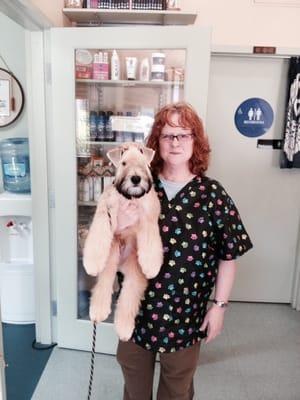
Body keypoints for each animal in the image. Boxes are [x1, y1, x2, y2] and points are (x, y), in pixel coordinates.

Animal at [82, 142, 164, 340]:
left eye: (142, 162)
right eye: (124, 162)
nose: (135, 179)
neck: (130, 198)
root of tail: (121, 265)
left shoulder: (149, 218)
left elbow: (151, 243)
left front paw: (152, 266)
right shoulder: (105, 213)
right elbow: (98, 235)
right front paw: (91, 263)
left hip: (135, 273)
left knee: (128, 298)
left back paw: (124, 328)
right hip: (111, 255)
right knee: (104, 283)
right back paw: (98, 311)